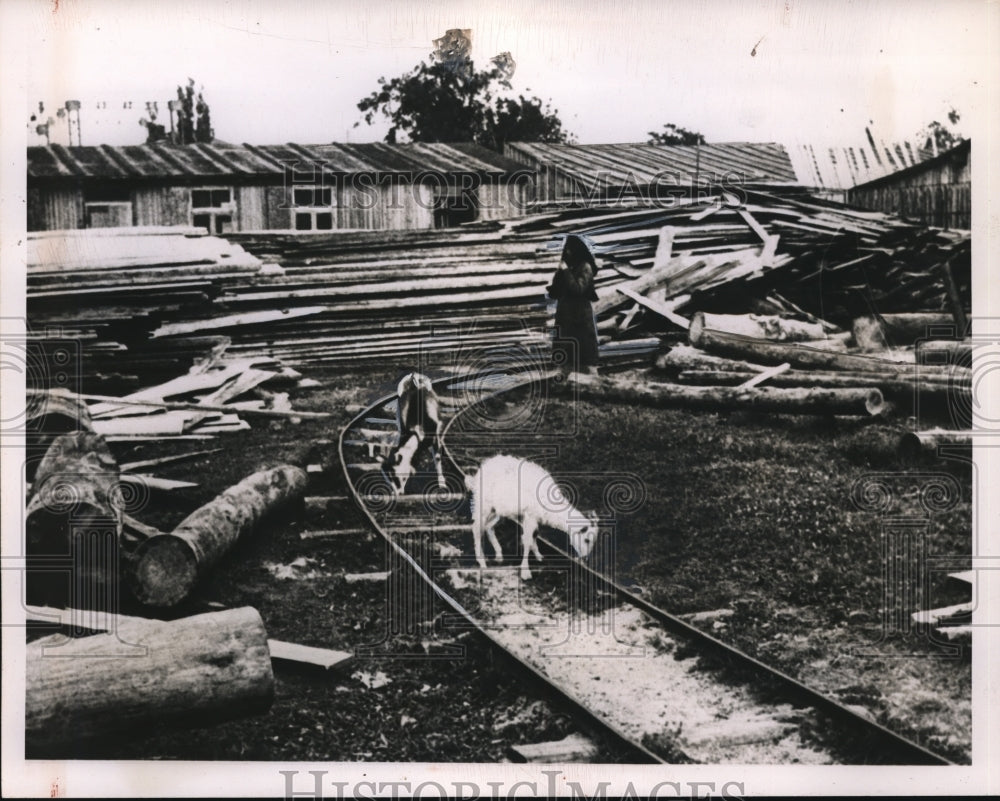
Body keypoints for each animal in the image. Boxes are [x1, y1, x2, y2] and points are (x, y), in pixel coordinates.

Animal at [464, 454, 596, 580]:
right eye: (587, 539)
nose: (586, 558)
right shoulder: (530, 515)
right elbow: (526, 540)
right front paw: (525, 571)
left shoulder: (533, 517)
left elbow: (535, 534)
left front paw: (539, 556)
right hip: (483, 504)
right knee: (476, 528)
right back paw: (482, 562)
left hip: (497, 510)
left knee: (489, 527)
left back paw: (499, 555)